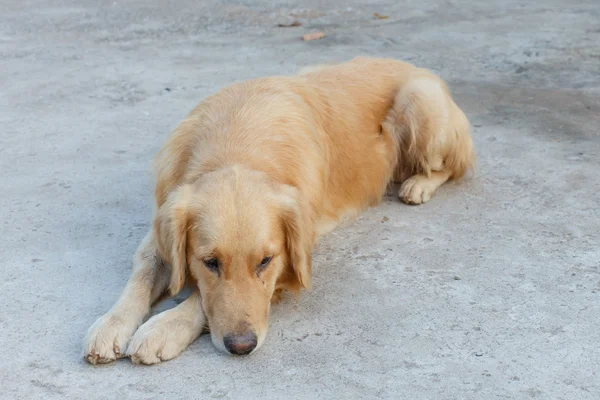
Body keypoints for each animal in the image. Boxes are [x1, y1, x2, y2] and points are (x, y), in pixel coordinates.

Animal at [83, 56, 474, 366]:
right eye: (210, 262)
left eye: (265, 261)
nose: (242, 346)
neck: (237, 145)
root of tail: (417, 67)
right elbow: (143, 272)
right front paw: (111, 323)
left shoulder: (292, 259)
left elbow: (199, 300)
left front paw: (165, 327)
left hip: (421, 100)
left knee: (451, 167)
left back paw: (418, 185)